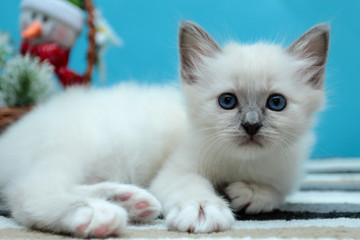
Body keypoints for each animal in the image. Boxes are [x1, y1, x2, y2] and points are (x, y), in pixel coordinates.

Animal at [148, 22, 330, 232]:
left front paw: (249, 192)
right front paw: (202, 209)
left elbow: (275, 192)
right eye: (227, 101)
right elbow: (190, 184)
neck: (240, 165)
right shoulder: (175, 171)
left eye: (276, 102)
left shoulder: (285, 176)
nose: (251, 125)